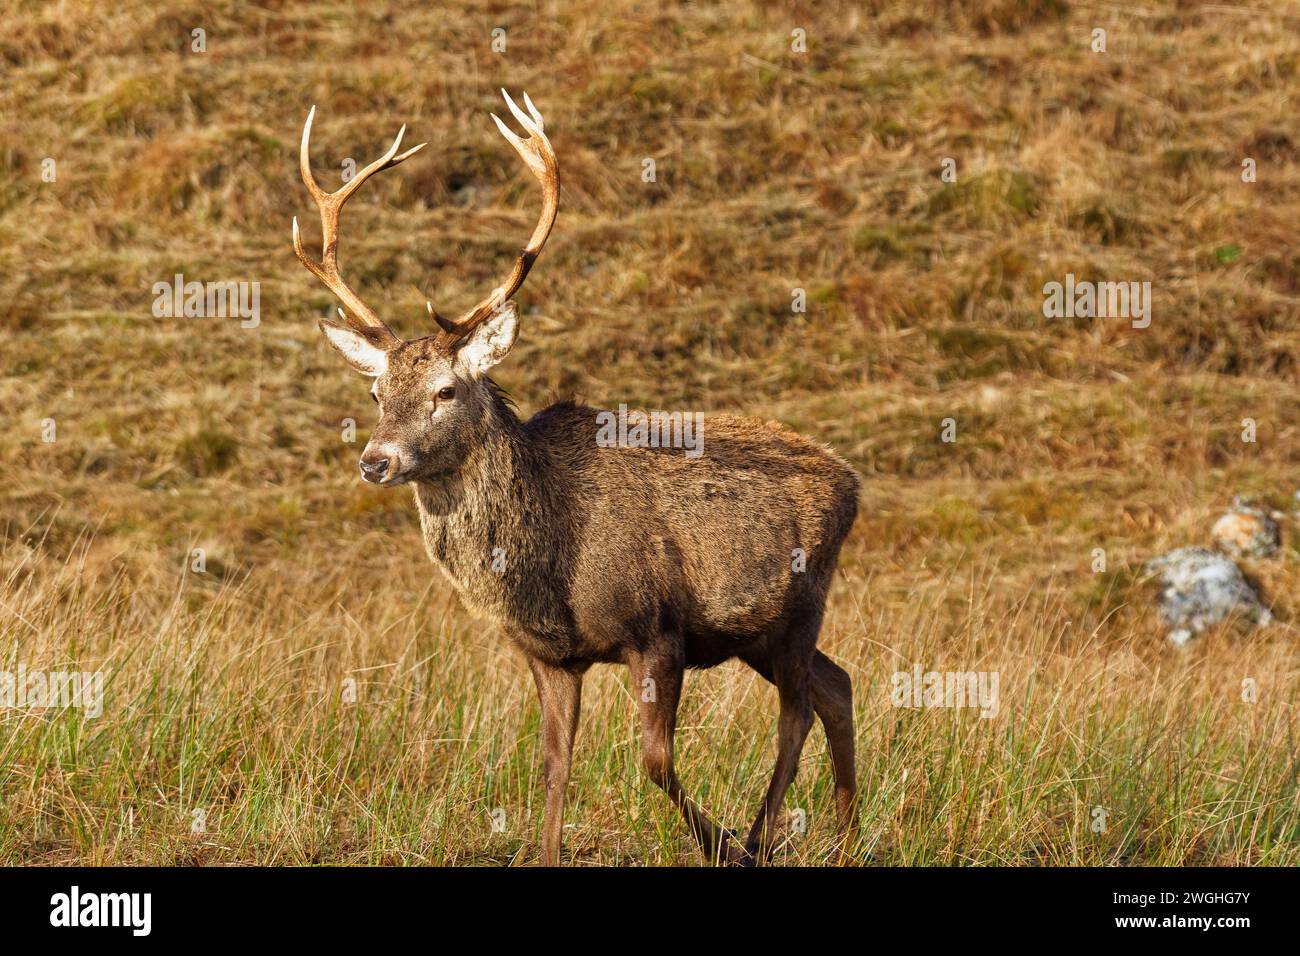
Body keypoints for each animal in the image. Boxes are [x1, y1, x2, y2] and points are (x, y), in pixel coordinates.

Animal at [295, 91, 863, 868]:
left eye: (445, 389)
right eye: (377, 391)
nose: (375, 459)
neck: (547, 563)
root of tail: (853, 483)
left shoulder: (656, 630)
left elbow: (654, 760)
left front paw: (718, 844)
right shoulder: (548, 655)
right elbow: (554, 766)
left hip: (800, 605)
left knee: (798, 710)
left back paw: (757, 840)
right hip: (760, 634)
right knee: (837, 687)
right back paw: (849, 835)